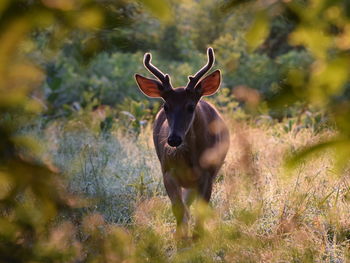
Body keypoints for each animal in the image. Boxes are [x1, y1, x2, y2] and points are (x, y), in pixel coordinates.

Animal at [135, 48, 230, 241]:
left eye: (191, 106)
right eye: (166, 106)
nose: (173, 139)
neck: (190, 160)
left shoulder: (207, 175)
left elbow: (200, 209)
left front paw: (197, 237)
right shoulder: (167, 171)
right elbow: (178, 208)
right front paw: (180, 237)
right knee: (185, 205)